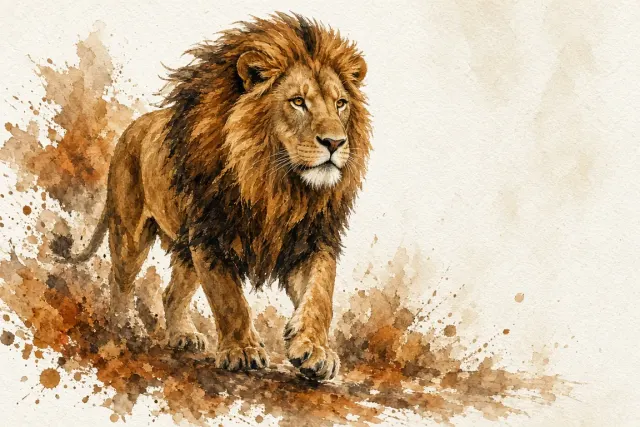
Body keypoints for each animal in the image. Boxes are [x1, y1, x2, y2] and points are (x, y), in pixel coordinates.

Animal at [53, 12, 371, 381]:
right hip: (131, 230)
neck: (276, 185)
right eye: (298, 101)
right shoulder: (210, 235)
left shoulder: (310, 237)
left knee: (171, 294)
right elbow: (228, 298)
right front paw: (242, 351)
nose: (335, 142)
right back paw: (123, 325)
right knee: (119, 279)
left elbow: (320, 293)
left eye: (340, 103)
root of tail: (133, 128)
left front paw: (314, 351)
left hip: (183, 247)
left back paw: (183, 335)